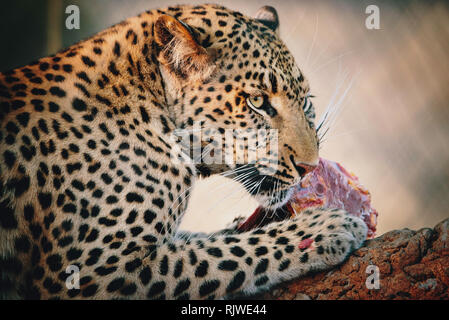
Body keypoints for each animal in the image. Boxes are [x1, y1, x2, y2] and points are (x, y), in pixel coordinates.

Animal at [0, 3, 366, 300]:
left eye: (306, 101)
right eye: (257, 102)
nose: (310, 167)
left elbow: (210, 239)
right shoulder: (93, 268)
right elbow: (227, 254)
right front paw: (326, 229)